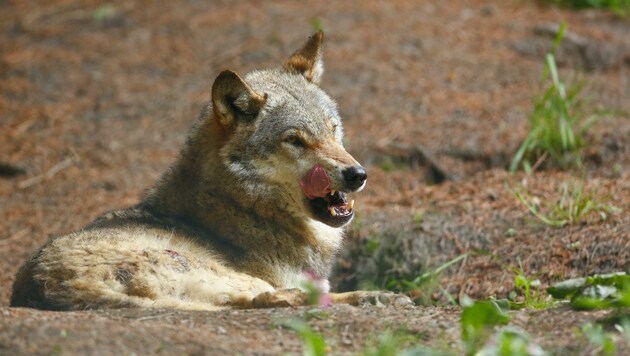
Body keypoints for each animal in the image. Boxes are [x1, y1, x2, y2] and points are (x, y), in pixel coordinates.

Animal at [11, 32, 414, 312]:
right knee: (268, 299)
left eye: (332, 129)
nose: (357, 174)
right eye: (296, 141)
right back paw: (377, 298)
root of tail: (44, 285)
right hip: (225, 275)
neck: (248, 207)